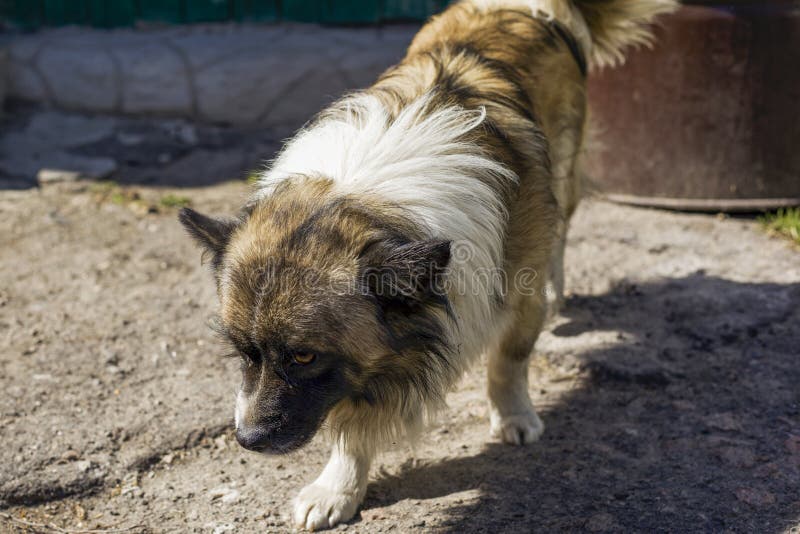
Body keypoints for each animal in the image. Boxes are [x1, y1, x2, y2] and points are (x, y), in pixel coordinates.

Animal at [180, 1, 676, 532]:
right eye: (243, 353)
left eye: (305, 357)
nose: (246, 440)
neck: (366, 203)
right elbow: (351, 429)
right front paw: (338, 487)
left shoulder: (513, 292)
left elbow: (509, 359)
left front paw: (514, 414)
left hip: (563, 176)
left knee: (560, 231)